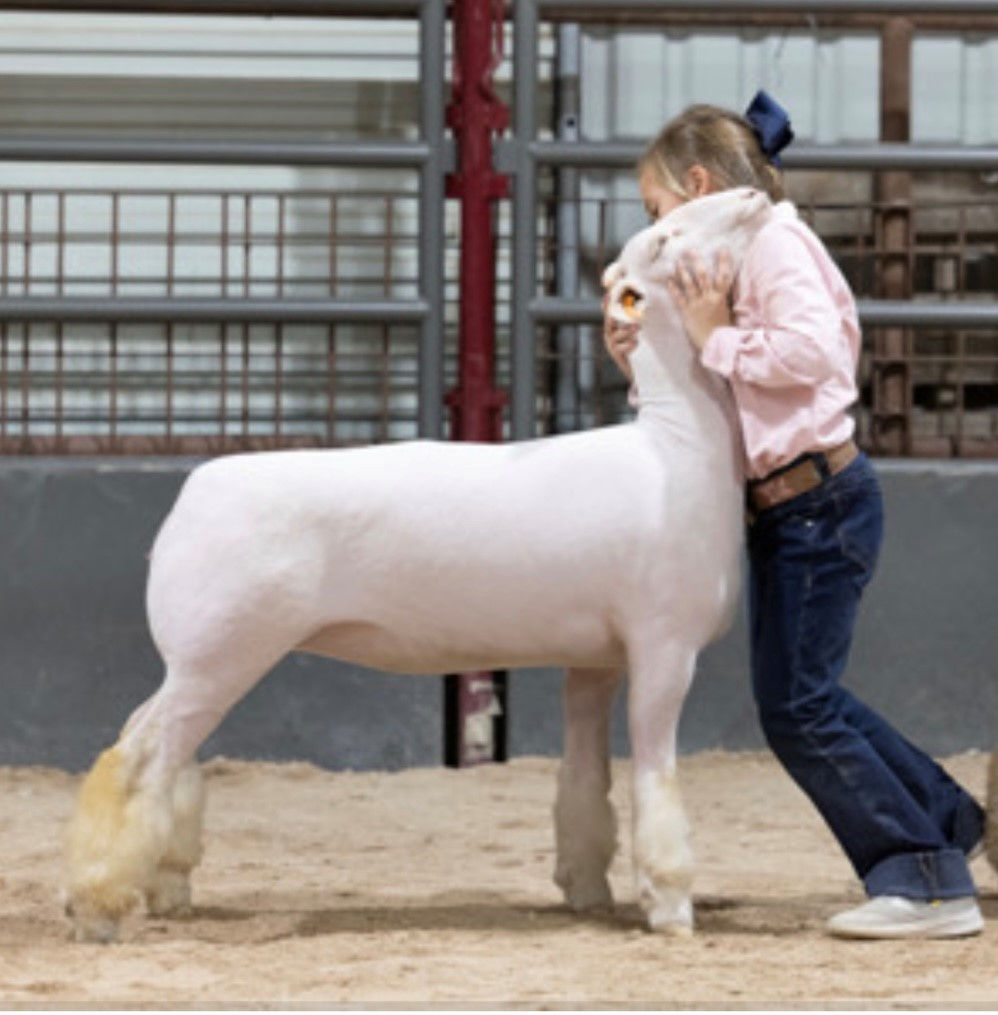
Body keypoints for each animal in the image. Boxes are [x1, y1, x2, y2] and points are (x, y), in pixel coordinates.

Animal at [64, 187, 774, 943]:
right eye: (666, 237)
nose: (755, 194)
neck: (678, 445)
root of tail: (192, 496)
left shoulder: (595, 658)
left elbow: (584, 779)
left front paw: (586, 891)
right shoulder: (664, 644)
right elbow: (655, 776)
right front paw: (670, 908)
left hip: (207, 655)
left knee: (162, 752)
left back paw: (167, 887)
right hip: (221, 648)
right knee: (136, 758)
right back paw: (97, 906)